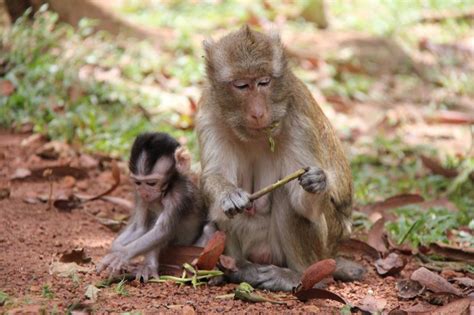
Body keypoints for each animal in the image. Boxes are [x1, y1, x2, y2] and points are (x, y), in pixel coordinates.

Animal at [96, 132, 206, 280]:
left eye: (151, 183)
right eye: (138, 183)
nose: (144, 192)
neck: (165, 191)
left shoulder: (179, 196)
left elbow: (162, 231)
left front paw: (122, 254)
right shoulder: (140, 196)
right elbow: (139, 228)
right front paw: (114, 249)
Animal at [195, 25, 362, 292]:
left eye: (264, 82)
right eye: (242, 85)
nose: (257, 112)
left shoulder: (298, 121)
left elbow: (301, 200)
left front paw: (318, 182)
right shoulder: (209, 115)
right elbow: (214, 176)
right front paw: (228, 195)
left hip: (326, 244)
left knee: (288, 200)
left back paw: (299, 277)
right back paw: (237, 269)